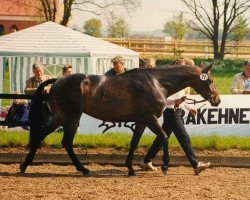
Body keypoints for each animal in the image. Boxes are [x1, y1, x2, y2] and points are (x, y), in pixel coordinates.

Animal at [19, 64, 221, 175]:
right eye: (210, 80)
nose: (217, 100)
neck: (157, 82)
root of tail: (58, 80)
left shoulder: (141, 121)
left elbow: (134, 143)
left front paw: (130, 168)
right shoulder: (150, 118)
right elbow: (164, 137)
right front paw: (164, 166)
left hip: (61, 117)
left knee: (43, 135)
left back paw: (24, 165)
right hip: (71, 117)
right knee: (66, 141)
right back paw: (84, 169)